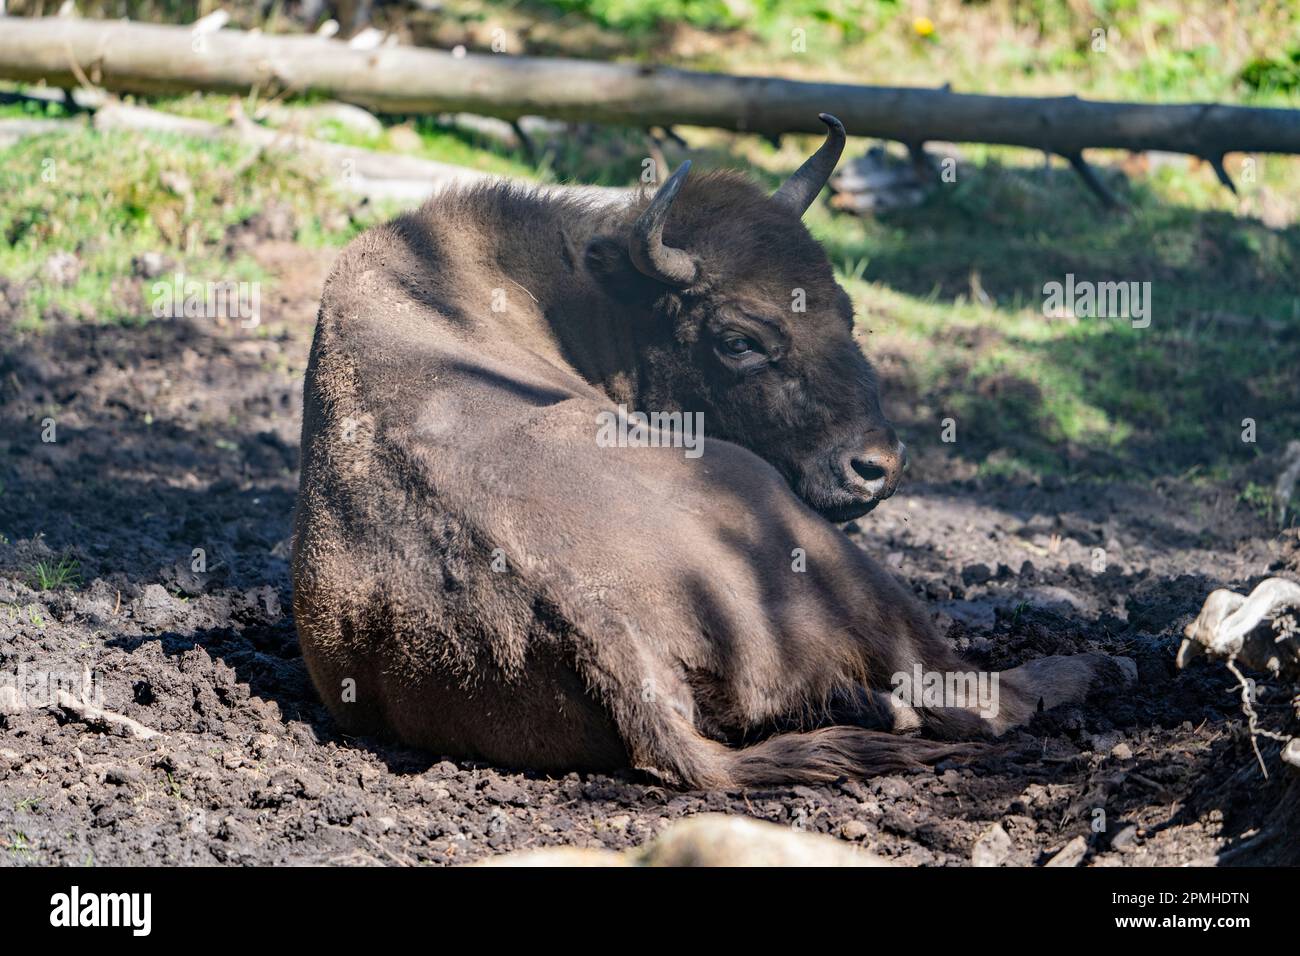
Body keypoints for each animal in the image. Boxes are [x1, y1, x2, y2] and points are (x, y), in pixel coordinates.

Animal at [295, 115, 1128, 790]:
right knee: (970, 694)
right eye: (739, 340)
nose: (875, 466)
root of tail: (604, 629)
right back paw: (1088, 667)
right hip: (789, 517)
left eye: (847, 311)